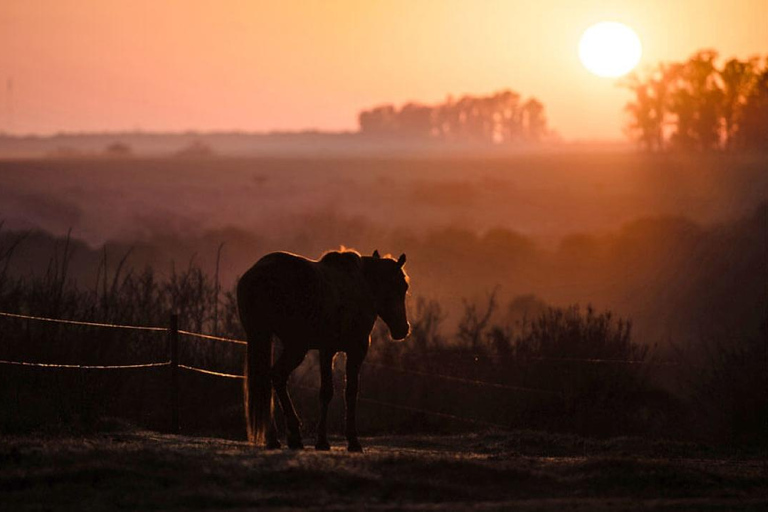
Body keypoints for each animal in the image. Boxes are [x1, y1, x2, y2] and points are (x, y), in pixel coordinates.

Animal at [238, 249, 408, 452]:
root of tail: (260, 273)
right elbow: (342, 392)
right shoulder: (348, 350)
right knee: (276, 377)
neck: (362, 284)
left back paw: (281, 438)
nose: (403, 329)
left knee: (273, 379)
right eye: (403, 286)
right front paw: (341, 441)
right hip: (296, 346)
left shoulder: (328, 351)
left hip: (274, 341)